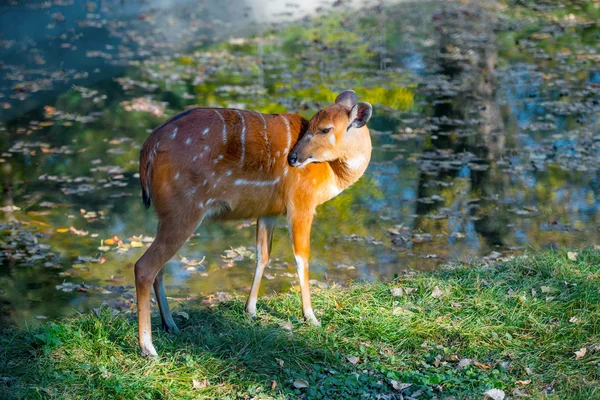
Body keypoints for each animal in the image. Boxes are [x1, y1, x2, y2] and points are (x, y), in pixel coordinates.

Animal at [134, 90, 372, 356]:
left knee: (160, 268)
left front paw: (250, 310)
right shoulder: (301, 202)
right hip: (184, 209)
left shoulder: (270, 211)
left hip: (167, 213)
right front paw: (311, 317)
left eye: (325, 129)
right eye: (312, 125)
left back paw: (171, 325)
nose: (293, 157)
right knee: (144, 266)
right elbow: (301, 258)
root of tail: (149, 148)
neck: (330, 174)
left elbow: (263, 255)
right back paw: (148, 348)